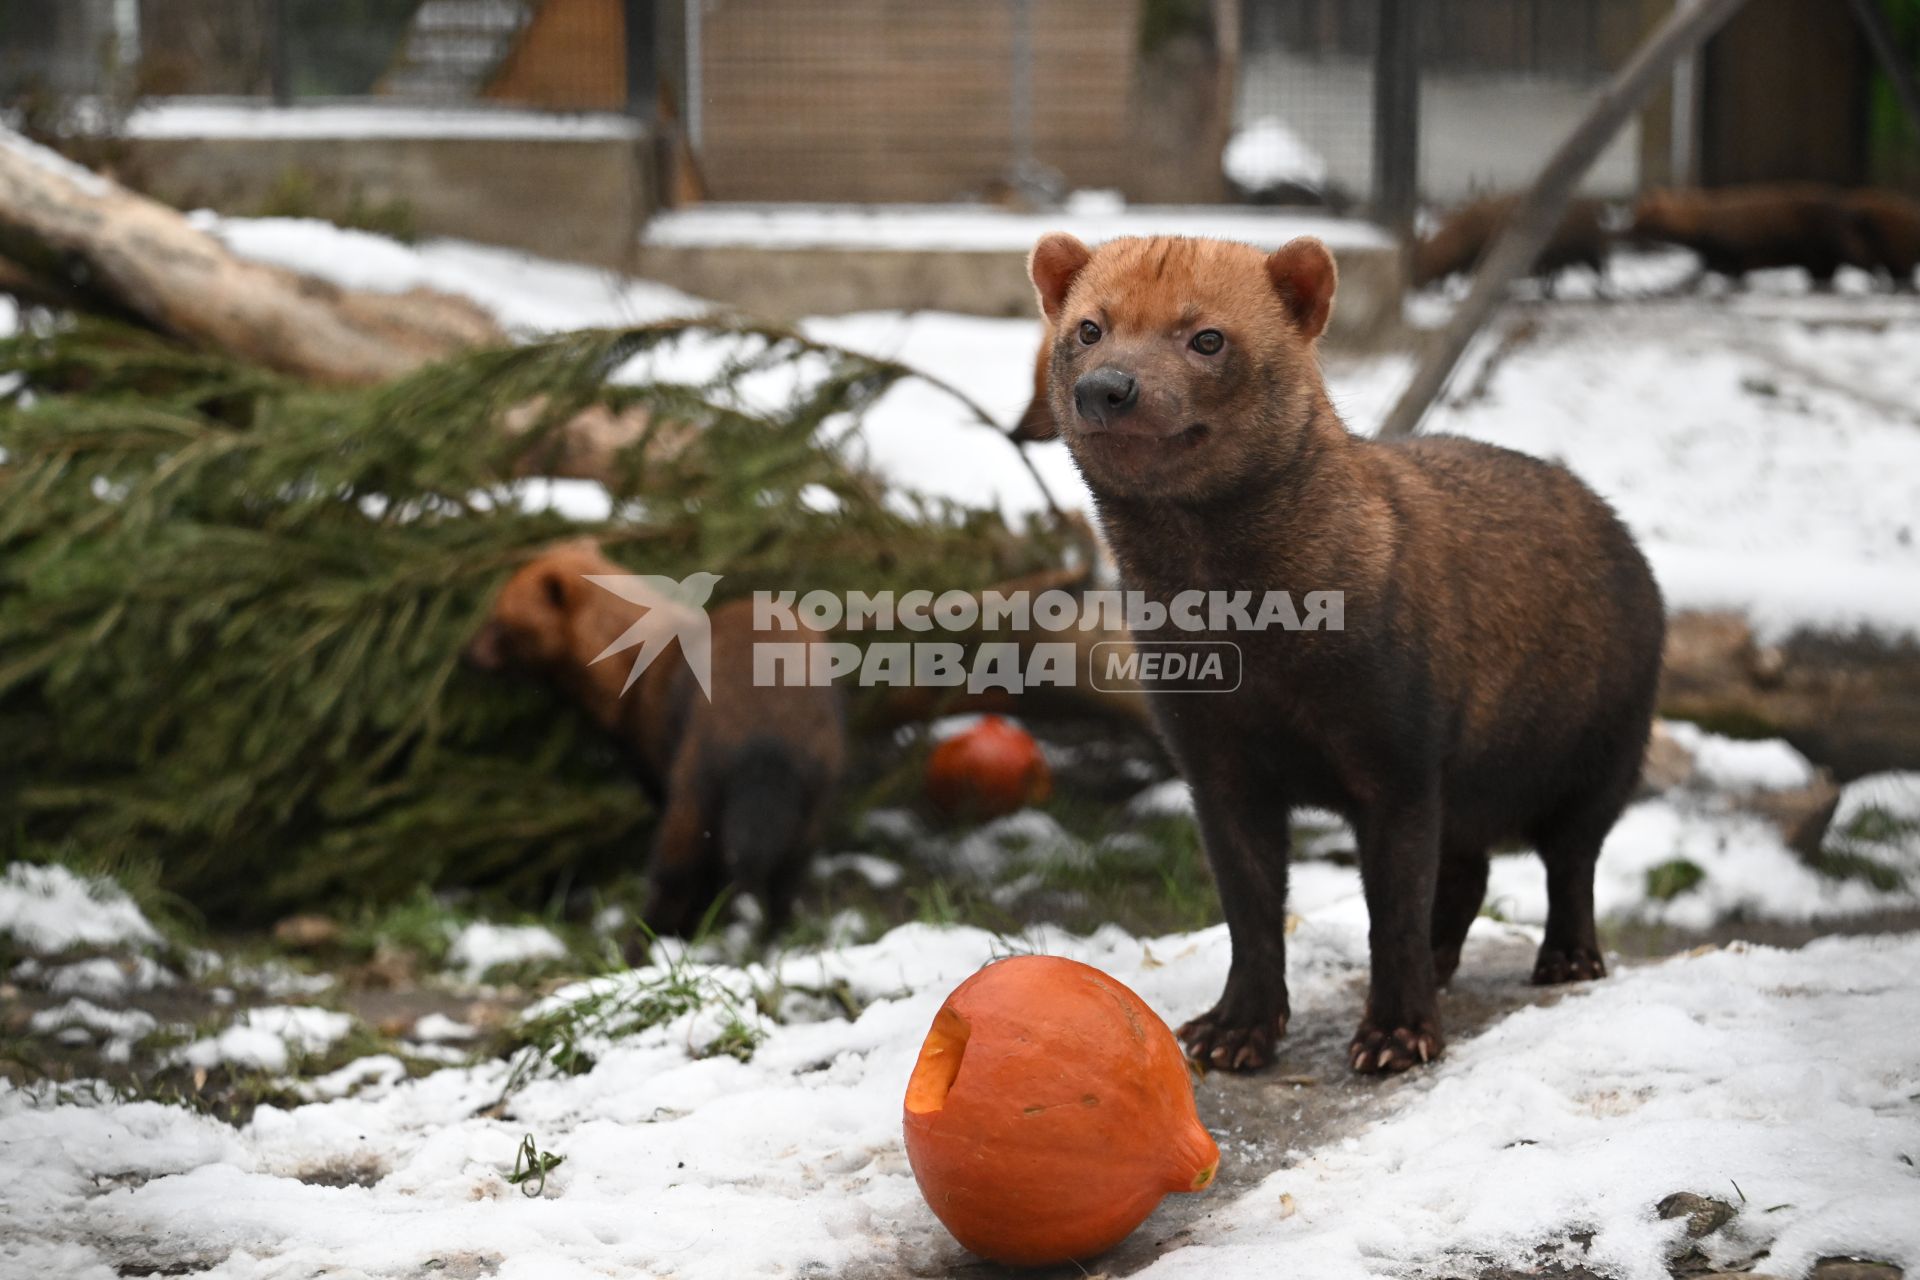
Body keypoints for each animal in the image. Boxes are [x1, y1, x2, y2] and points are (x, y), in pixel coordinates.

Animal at [464, 537, 840, 948]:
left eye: (500, 620)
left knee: (677, 876)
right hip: (814, 801)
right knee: (783, 884)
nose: (466, 653)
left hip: (692, 793)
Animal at [1036, 230, 1666, 1074]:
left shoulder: (1399, 753)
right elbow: (1250, 909)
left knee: (1570, 860)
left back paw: (1567, 959)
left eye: (1208, 336)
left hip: (1605, 751)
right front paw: (1232, 1031)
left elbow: (1393, 908)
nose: (1109, 388)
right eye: (1089, 327)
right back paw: (1446, 961)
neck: (1255, 645)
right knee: (1470, 871)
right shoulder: (1212, 759)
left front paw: (1396, 1035)